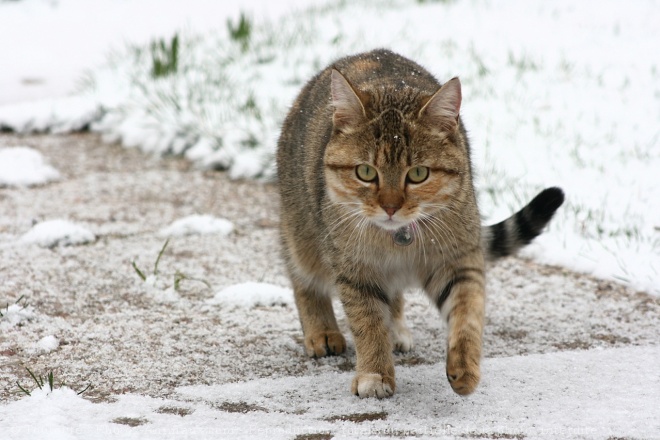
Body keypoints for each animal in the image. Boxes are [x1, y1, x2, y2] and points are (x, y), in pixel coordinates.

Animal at [276, 49, 564, 398]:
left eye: (418, 174)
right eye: (365, 172)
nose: (390, 206)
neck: (396, 241)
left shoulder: (458, 258)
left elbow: (467, 311)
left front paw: (464, 366)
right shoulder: (353, 268)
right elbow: (367, 321)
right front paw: (375, 374)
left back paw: (396, 328)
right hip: (301, 233)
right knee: (303, 278)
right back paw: (322, 331)